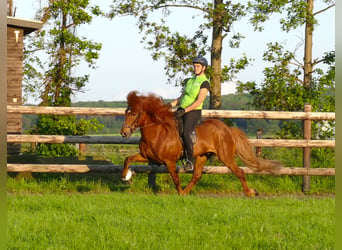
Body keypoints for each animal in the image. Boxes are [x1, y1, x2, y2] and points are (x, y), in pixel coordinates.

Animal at [119, 91, 280, 196]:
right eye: (126, 112)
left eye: (134, 113)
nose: (123, 133)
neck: (157, 132)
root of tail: (227, 129)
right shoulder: (147, 156)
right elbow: (127, 159)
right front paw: (126, 176)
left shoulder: (169, 161)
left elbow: (175, 178)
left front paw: (179, 194)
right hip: (203, 155)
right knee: (196, 176)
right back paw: (186, 192)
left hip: (226, 156)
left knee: (239, 172)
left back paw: (250, 192)